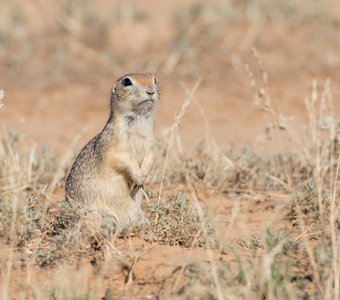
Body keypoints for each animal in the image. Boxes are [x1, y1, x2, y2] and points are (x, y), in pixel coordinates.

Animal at [65, 72, 159, 234]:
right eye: (127, 82)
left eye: (155, 79)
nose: (151, 91)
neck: (138, 118)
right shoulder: (114, 144)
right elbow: (122, 158)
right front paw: (138, 178)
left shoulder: (150, 144)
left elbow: (150, 157)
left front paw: (143, 178)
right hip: (95, 215)